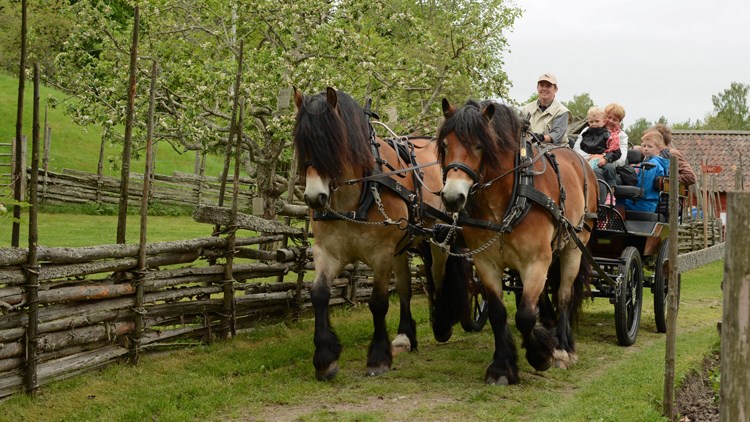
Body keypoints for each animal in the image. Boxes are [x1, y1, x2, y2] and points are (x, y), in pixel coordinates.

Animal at [294, 87, 470, 380]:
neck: (358, 196)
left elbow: (377, 302)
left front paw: (377, 357)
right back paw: (405, 335)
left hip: (438, 238)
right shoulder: (327, 252)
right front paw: (325, 358)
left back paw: (441, 323)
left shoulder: (381, 254)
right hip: (402, 245)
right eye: (301, 143)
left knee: (438, 275)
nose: (314, 198)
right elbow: (319, 294)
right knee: (405, 287)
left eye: (331, 142)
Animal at [440, 99, 600, 386]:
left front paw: (541, 356)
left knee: (564, 294)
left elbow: (525, 315)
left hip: (574, 247)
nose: (452, 197)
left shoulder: (536, 261)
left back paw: (562, 348)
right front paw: (502, 367)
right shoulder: (485, 262)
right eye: (445, 145)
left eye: (479, 145)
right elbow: (498, 313)